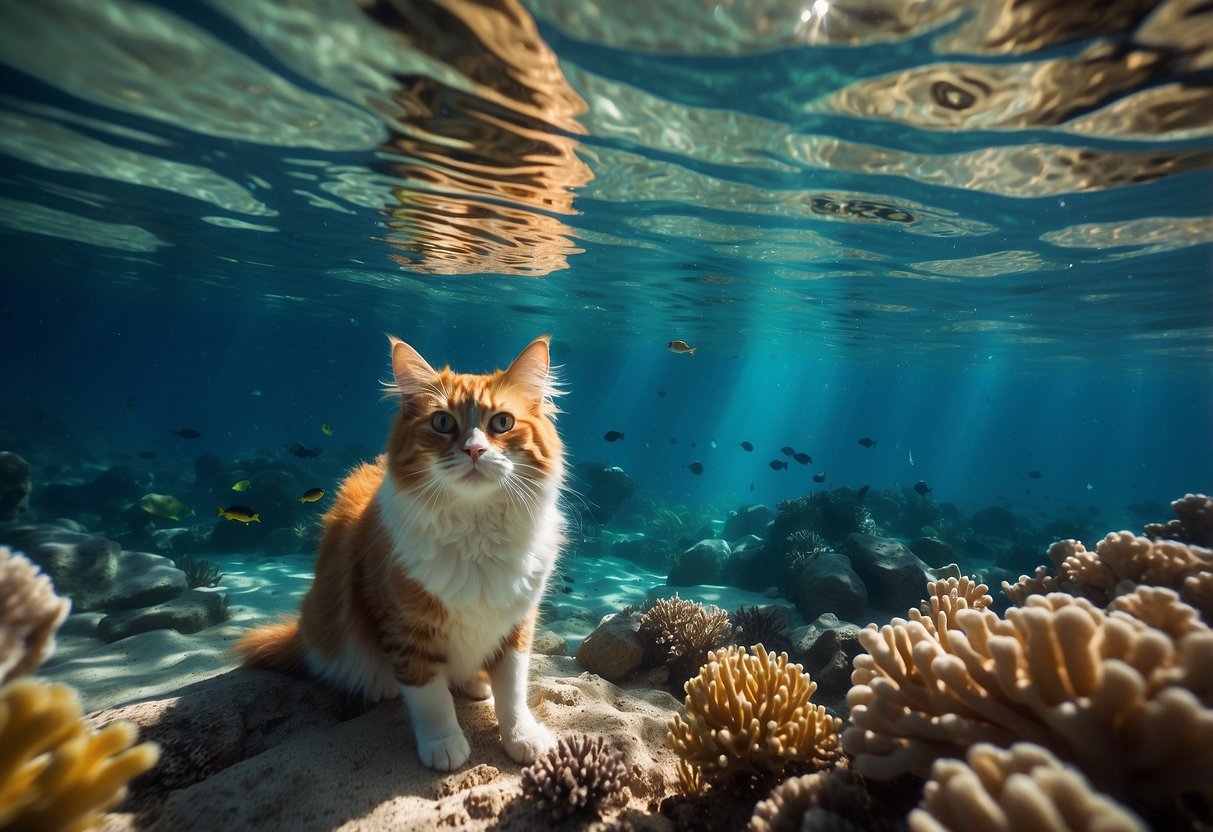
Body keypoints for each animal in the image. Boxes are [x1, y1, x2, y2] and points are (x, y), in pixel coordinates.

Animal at [236, 334, 567, 771]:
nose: (474, 450)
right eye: (443, 423)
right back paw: (381, 688)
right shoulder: (404, 628)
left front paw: (521, 736)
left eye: (502, 423)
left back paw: (477, 683)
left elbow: (513, 692)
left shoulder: (516, 625)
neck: (475, 531)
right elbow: (431, 696)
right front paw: (444, 744)